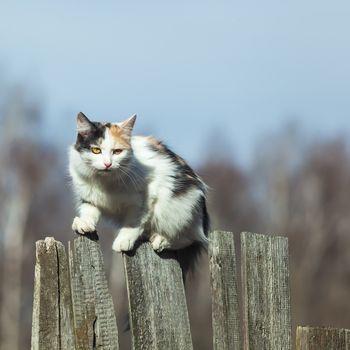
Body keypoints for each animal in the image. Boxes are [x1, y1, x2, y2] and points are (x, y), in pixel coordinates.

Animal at [69, 112, 209, 254]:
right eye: (96, 150)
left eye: (117, 151)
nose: (108, 164)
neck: (105, 181)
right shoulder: (89, 196)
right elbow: (89, 210)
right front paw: (84, 223)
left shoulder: (145, 197)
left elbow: (134, 222)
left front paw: (123, 241)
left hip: (177, 207)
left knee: (189, 239)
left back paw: (160, 240)